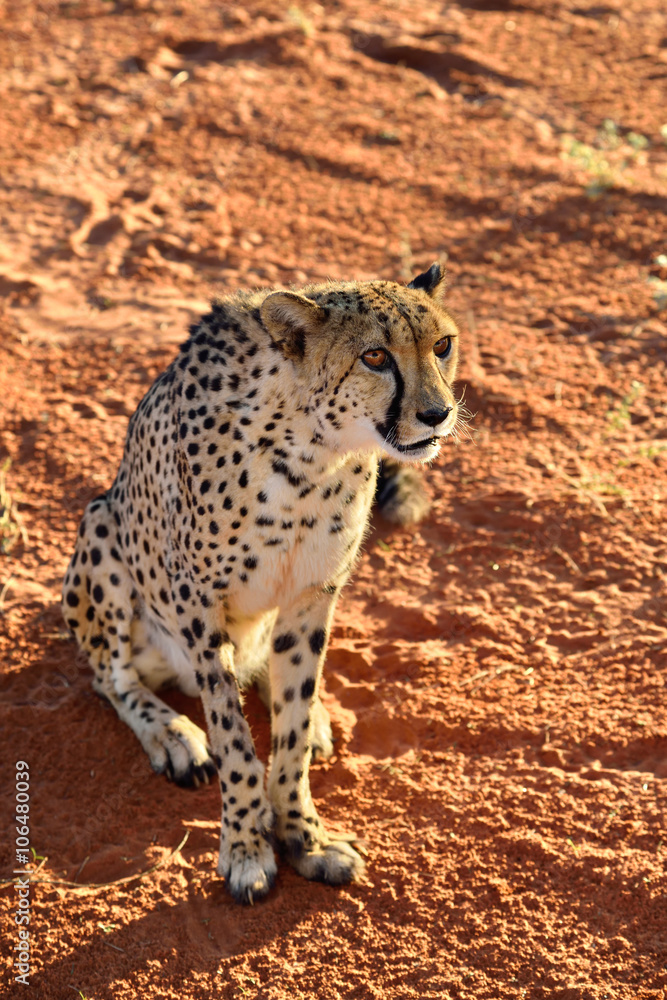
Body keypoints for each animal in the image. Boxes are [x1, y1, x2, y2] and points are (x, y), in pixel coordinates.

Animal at [62, 262, 460, 904]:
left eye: (442, 346)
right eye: (375, 356)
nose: (437, 414)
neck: (314, 452)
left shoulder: (312, 597)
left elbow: (289, 736)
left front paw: (305, 837)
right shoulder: (199, 606)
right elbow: (233, 739)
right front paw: (247, 848)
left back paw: (314, 714)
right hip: (102, 529)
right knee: (111, 678)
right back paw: (172, 734)